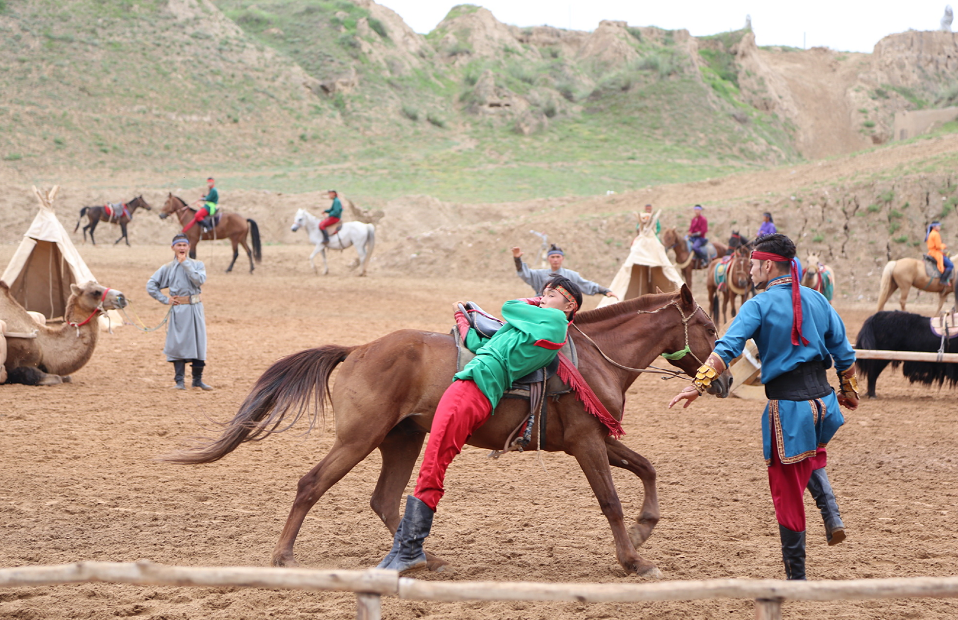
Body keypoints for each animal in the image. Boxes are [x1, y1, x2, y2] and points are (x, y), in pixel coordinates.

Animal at [167, 286, 736, 576]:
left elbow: (647, 468)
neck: (593, 357)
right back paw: (284, 556)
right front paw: (634, 559)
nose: (727, 379)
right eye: (709, 326)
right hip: (359, 439)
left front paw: (644, 530)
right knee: (312, 484)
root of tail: (357, 349)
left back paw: (423, 557)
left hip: (403, 439)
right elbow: (611, 500)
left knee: (387, 498)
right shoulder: (586, 443)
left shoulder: (600, 439)